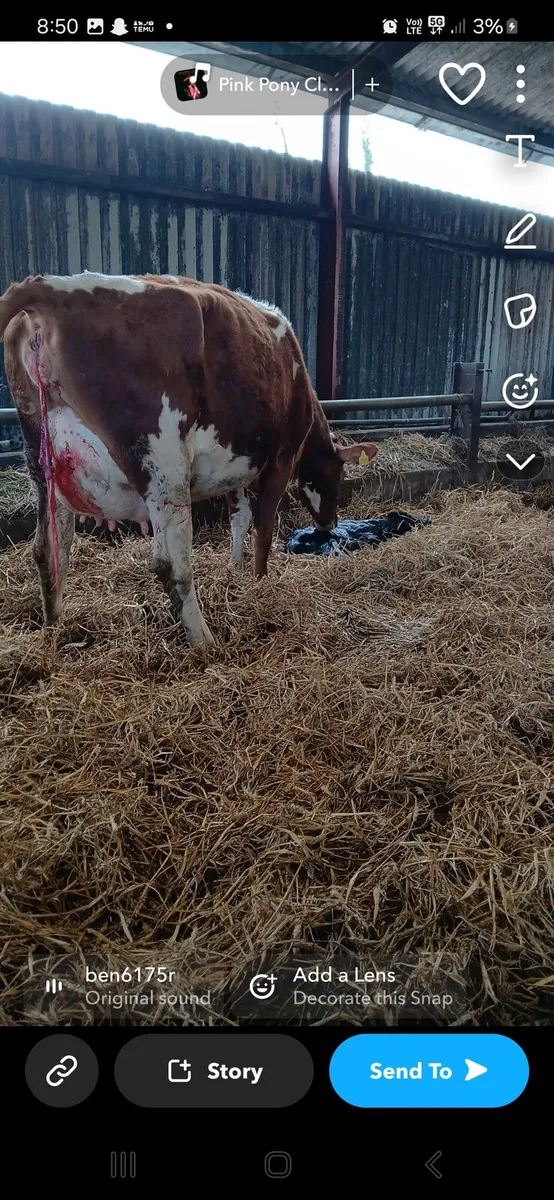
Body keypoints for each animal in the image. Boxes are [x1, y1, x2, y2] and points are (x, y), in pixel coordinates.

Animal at [0, 272, 377, 647]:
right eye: (339, 474)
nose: (329, 523)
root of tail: (47, 287)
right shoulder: (280, 461)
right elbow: (264, 529)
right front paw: (259, 581)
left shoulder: (235, 468)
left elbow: (239, 518)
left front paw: (234, 567)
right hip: (165, 466)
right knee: (171, 564)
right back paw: (205, 643)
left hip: (43, 466)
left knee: (50, 549)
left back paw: (55, 626)